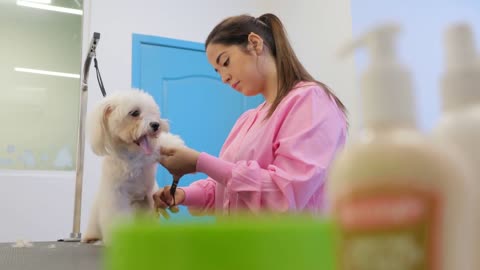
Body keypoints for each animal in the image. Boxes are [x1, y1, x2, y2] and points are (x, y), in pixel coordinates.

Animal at [82, 89, 184, 244]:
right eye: (135, 113)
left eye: (153, 112)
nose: (156, 124)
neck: (133, 155)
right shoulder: (117, 197)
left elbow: (164, 142)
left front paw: (177, 146)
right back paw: (90, 237)